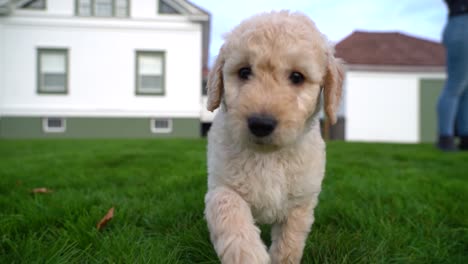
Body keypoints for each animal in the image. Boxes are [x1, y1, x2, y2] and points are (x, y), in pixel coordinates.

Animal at [205, 10, 344, 264]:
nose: (261, 124)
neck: (268, 157)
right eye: (244, 72)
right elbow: (230, 213)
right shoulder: (222, 187)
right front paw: (251, 256)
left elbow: (289, 243)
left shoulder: (300, 201)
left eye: (297, 77)